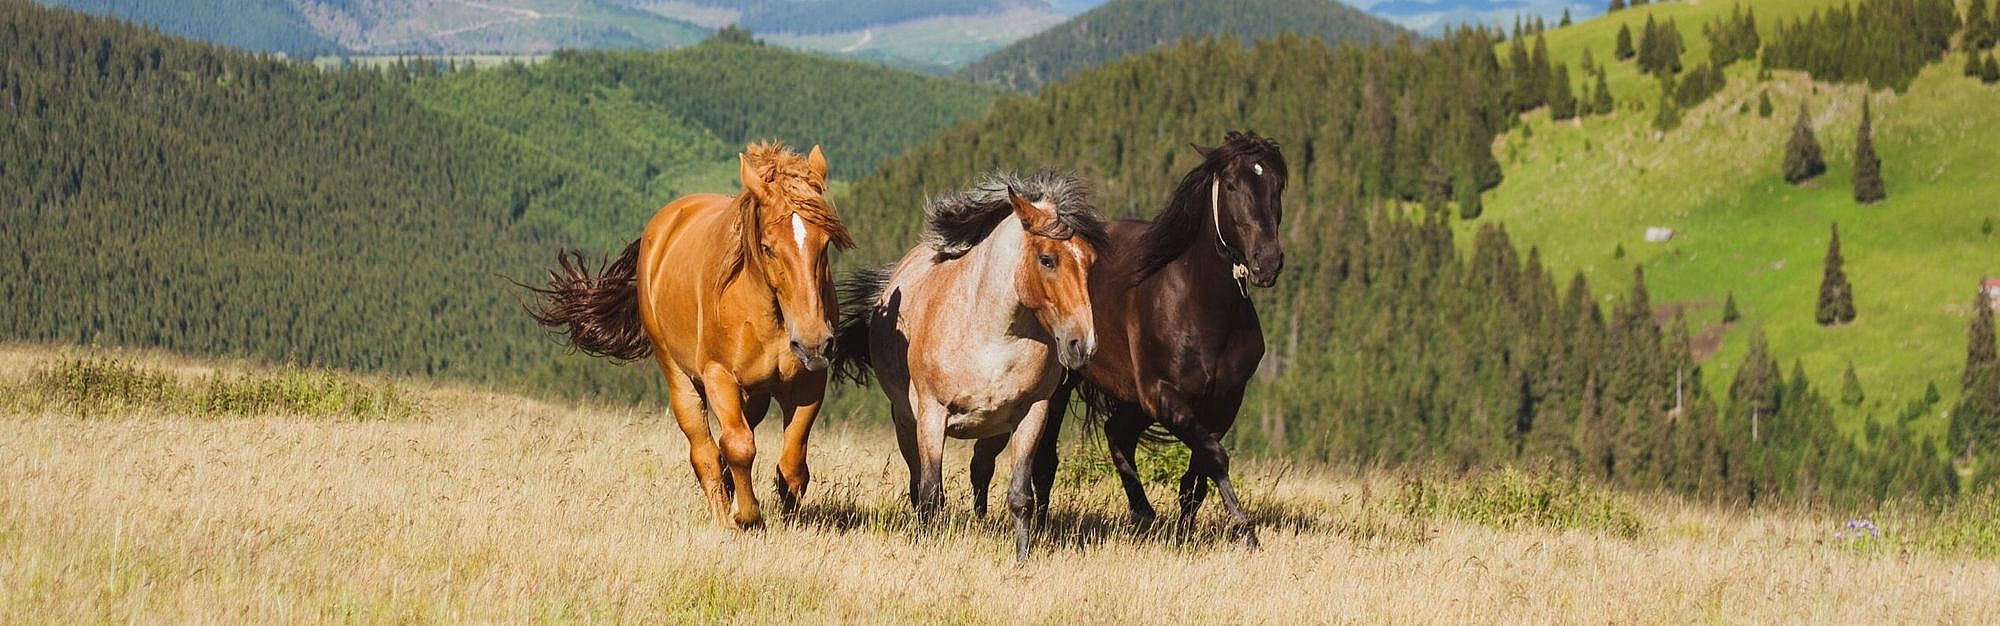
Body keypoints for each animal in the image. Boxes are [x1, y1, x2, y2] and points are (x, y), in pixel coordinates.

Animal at [521, 142, 855, 530]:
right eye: (768, 247)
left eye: (825, 242)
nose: (814, 342)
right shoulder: (719, 376)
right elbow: (738, 446)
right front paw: (747, 517)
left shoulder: (808, 384)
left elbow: (792, 464)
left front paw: (789, 519)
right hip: (679, 375)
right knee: (705, 451)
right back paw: (724, 514)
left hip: (755, 394)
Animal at [830, 170, 1106, 562]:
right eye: (1047, 259)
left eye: (1090, 260)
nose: (1082, 345)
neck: (991, 337)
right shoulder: (932, 415)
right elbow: (931, 492)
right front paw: (927, 547)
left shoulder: (1032, 414)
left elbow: (1021, 495)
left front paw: (1022, 557)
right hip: (906, 422)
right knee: (918, 481)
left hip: (994, 430)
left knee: (981, 469)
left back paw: (981, 522)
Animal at [970, 131, 1287, 547]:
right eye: (1232, 185)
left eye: (1278, 185)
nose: (1267, 261)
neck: (1200, 304)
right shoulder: (1162, 396)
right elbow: (1215, 456)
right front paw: (1245, 530)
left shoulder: (1224, 402)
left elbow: (1198, 473)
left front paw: (1185, 532)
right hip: (1064, 388)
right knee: (1046, 461)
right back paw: (1038, 525)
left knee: (1116, 434)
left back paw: (1143, 514)